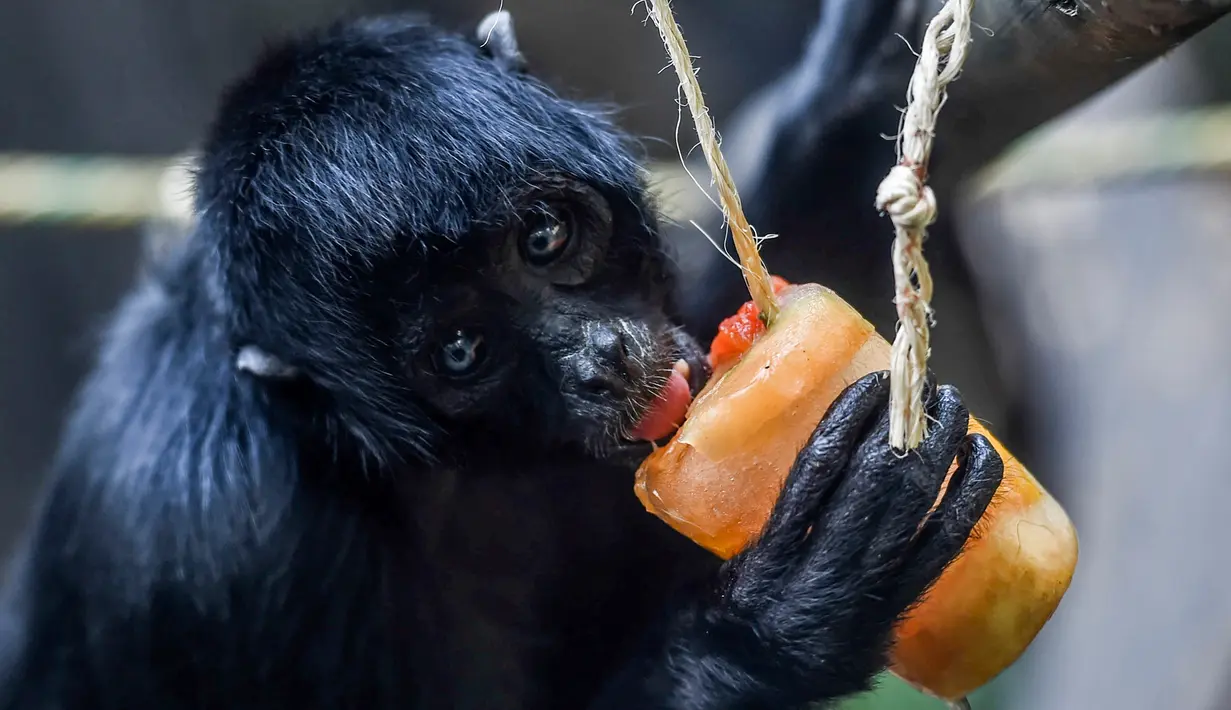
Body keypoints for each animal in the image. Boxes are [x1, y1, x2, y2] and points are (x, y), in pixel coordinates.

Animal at [0, 6, 999, 708]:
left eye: (545, 237)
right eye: (460, 350)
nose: (602, 358)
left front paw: (853, 94)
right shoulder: (217, 546)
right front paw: (777, 620)